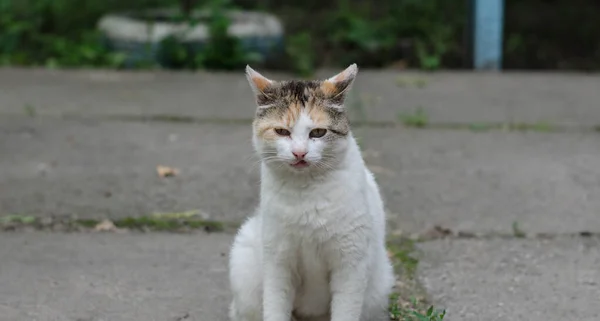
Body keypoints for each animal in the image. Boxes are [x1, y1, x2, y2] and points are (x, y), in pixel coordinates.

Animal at [229, 63, 394, 320]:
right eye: (282, 131)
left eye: (317, 133)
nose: (299, 153)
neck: (306, 192)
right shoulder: (278, 262)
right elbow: (275, 308)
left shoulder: (351, 264)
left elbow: (345, 311)